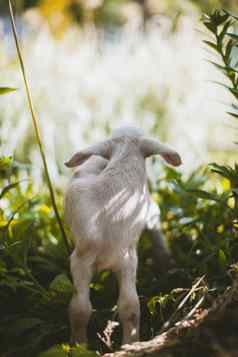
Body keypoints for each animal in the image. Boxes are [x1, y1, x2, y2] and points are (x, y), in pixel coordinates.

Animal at [64, 126, 181, 344]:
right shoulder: (80, 260)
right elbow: (80, 309)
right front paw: (80, 345)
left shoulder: (128, 259)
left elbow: (130, 306)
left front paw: (130, 343)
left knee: (154, 214)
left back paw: (164, 258)